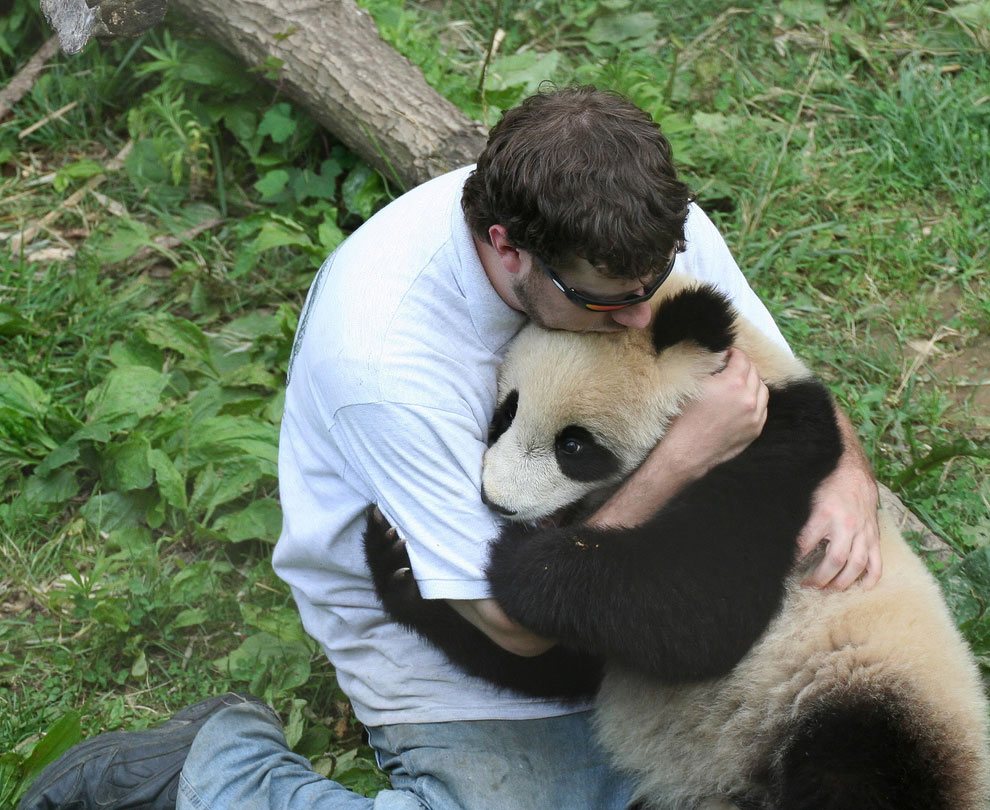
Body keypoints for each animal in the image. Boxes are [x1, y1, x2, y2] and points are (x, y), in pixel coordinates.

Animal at [364, 274, 990, 808]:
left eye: (574, 446)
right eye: (505, 413)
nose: (498, 502)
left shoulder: (779, 451)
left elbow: (698, 607)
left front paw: (520, 563)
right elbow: (558, 655)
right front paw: (395, 562)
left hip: (869, 700)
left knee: (858, 772)